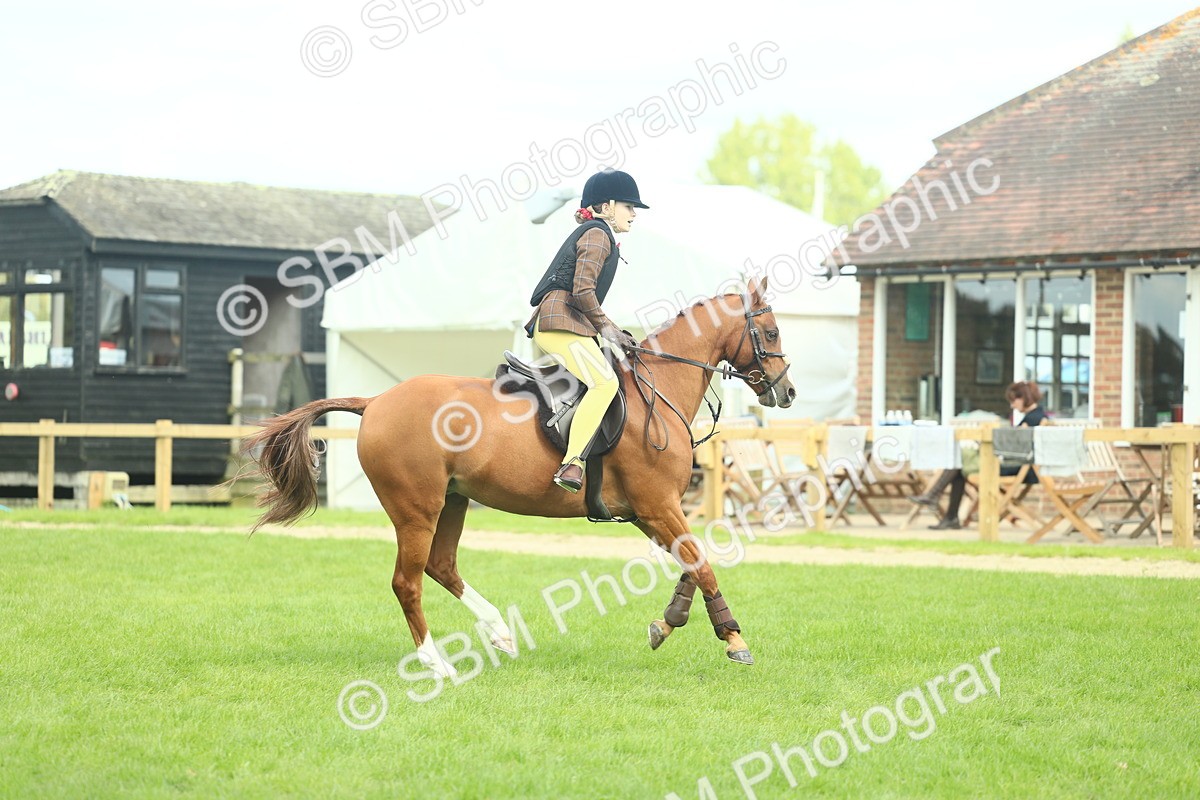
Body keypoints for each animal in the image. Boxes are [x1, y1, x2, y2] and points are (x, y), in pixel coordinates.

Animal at [246, 276, 796, 672]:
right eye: (770, 333)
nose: (786, 391)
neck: (657, 388)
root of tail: (376, 401)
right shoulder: (657, 505)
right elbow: (702, 564)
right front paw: (734, 639)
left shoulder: (650, 511)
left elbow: (692, 563)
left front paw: (668, 623)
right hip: (415, 508)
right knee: (408, 582)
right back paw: (435, 662)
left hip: (453, 500)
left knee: (441, 567)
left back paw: (500, 632)